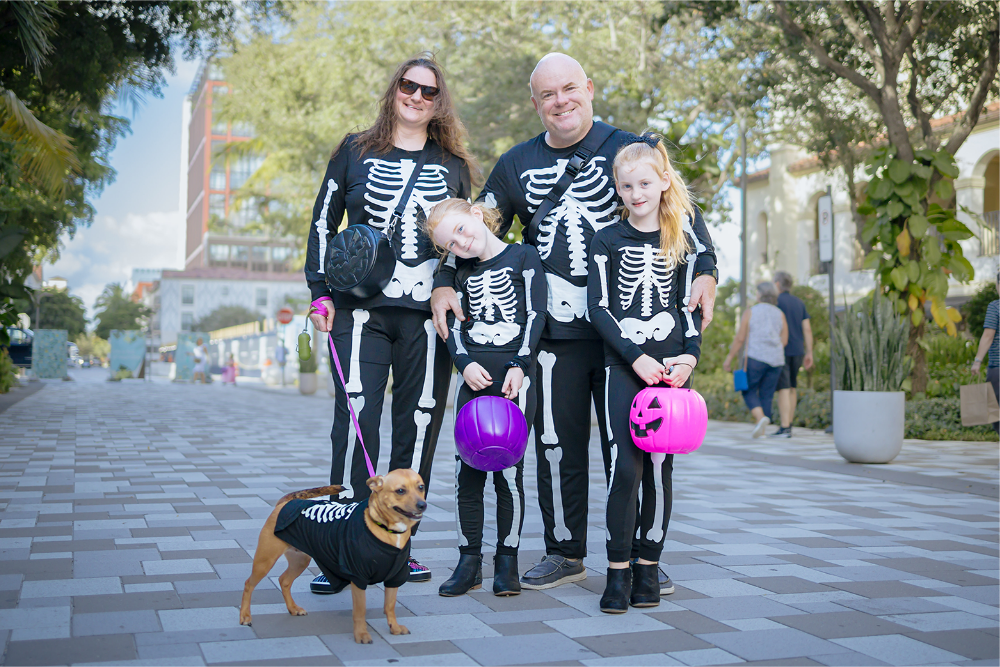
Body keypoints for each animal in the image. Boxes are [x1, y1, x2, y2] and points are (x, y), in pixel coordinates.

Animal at [245, 468, 430, 644]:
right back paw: (245, 616)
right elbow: (360, 610)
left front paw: (394, 627)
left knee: (284, 581)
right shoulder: (358, 577)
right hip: (265, 559)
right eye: (400, 491)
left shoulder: (394, 577)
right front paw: (361, 634)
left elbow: (390, 605)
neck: (386, 529)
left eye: (421, 487)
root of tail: (286, 502)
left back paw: (293, 608)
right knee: (249, 584)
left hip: (300, 560)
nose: (422, 505)